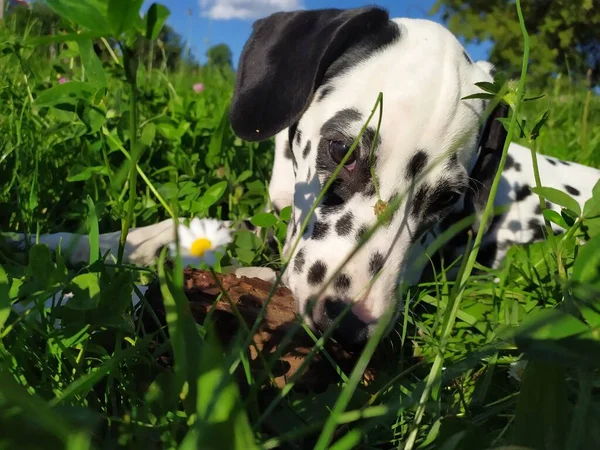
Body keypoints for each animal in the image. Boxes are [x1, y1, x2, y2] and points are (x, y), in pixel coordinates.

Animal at [11, 7, 596, 348]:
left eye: (446, 200)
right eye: (342, 151)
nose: (353, 328)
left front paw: (41, 307)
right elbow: (145, 238)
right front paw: (39, 246)